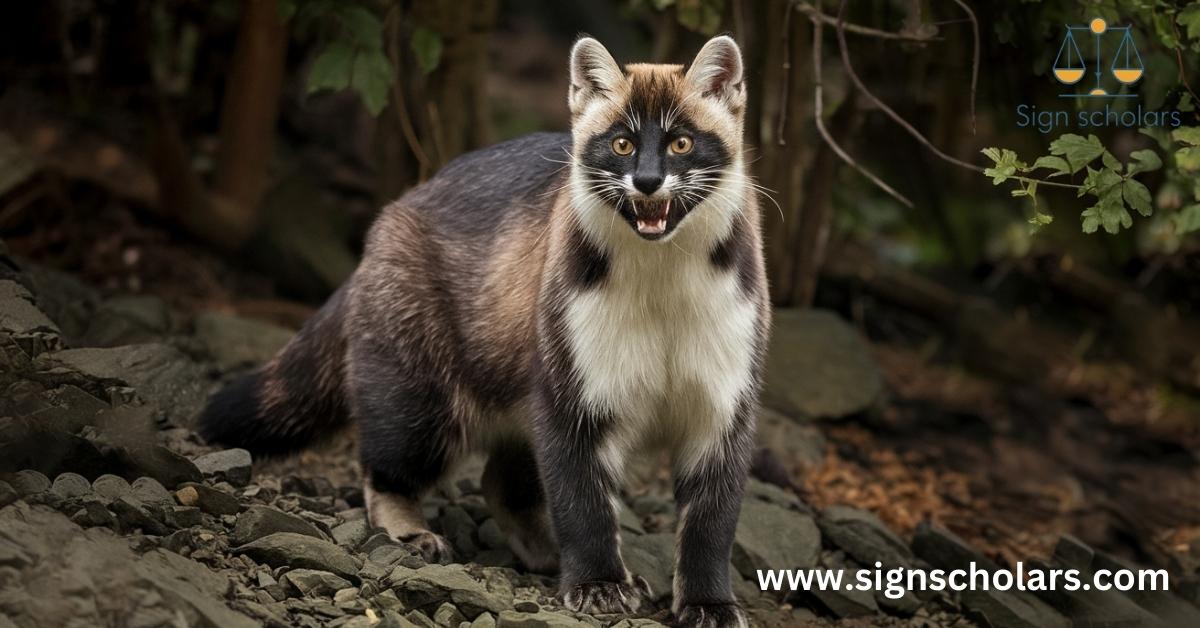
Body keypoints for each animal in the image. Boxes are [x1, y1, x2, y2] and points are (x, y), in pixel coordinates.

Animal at [201, 35, 768, 628]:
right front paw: (599, 587)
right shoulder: (571, 384)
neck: (662, 303)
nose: (648, 180)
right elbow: (581, 498)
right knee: (387, 466)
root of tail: (396, 211)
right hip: (416, 390)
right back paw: (416, 535)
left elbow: (712, 522)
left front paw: (711, 606)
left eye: (682, 141)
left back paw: (545, 552)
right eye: (620, 142)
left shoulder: (726, 398)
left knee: (502, 480)